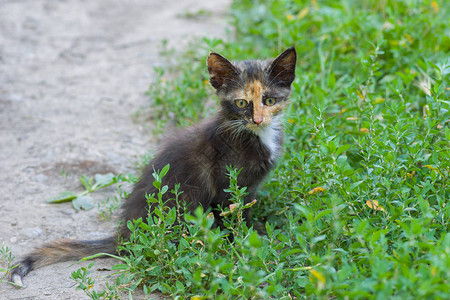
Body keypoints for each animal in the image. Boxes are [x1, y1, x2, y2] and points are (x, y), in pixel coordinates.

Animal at [10, 47, 298, 286]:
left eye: (269, 101)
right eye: (241, 103)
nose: (258, 120)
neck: (254, 135)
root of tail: (125, 234)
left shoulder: (249, 189)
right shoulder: (228, 187)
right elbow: (235, 219)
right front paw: (246, 246)